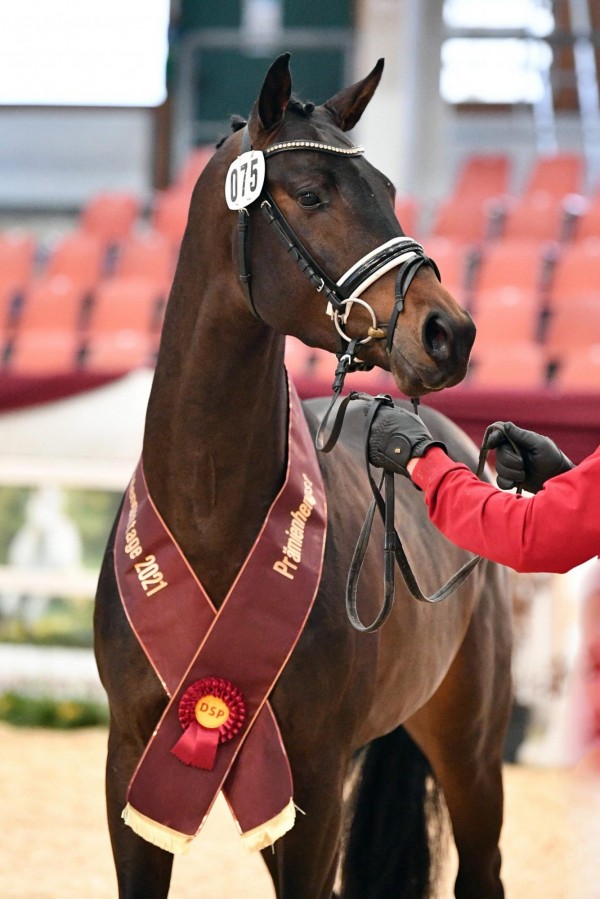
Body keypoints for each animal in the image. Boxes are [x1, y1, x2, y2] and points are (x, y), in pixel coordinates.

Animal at [94, 56, 510, 899]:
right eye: (313, 194)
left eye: (387, 188)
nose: (449, 332)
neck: (211, 515)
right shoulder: (136, 768)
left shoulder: (314, 777)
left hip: (473, 753)